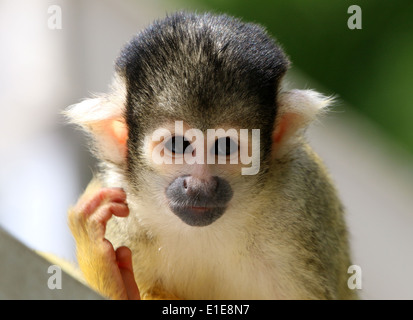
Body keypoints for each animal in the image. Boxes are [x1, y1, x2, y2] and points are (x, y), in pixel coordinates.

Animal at [66, 10, 356, 300]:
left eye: (225, 146)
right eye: (177, 144)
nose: (199, 185)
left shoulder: (298, 209)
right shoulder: (127, 222)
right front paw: (110, 271)